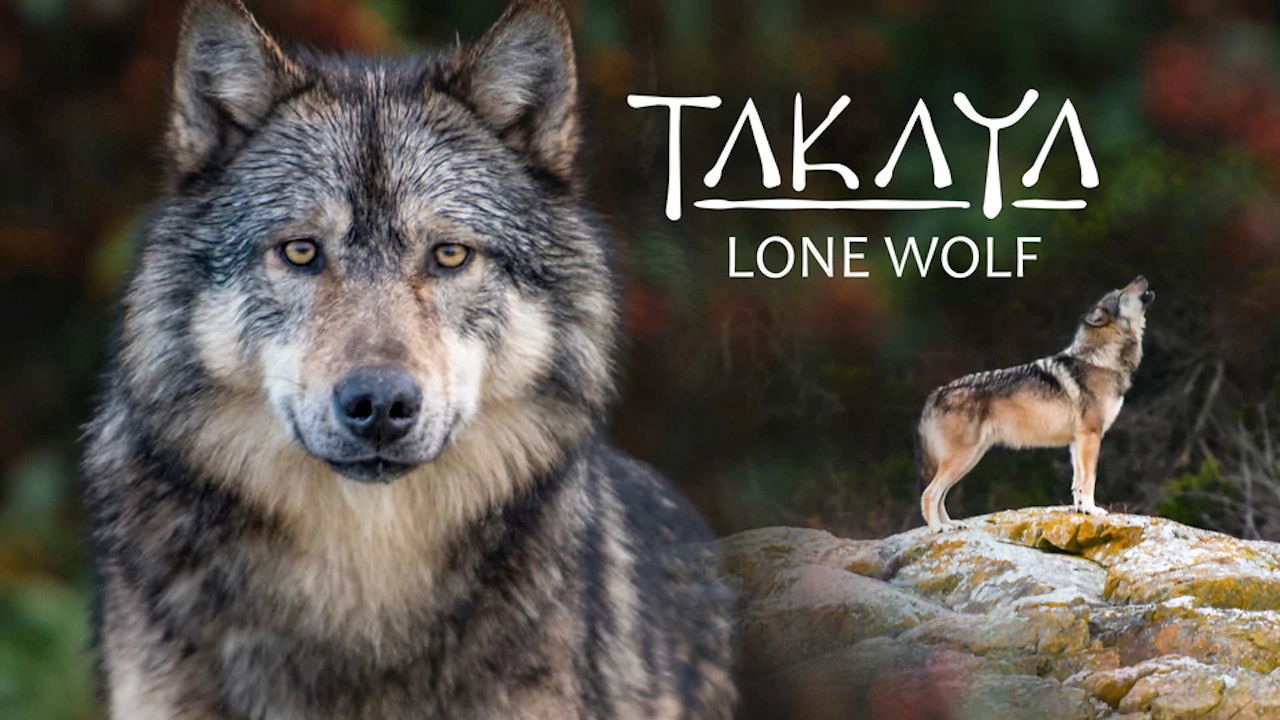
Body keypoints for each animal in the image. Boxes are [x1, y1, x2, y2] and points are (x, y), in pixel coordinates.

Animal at [917, 276, 1154, 532]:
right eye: (1121, 293)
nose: (1141, 277)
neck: (1100, 359)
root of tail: (934, 395)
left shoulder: (1077, 441)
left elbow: (1077, 482)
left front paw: (1081, 511)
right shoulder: (1090, 435)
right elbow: (1089, 478)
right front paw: (1092, 510)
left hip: (969, 459)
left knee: (939, 495)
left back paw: (950, 525)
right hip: (962, 459)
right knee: (929, 494)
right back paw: (938, 529)